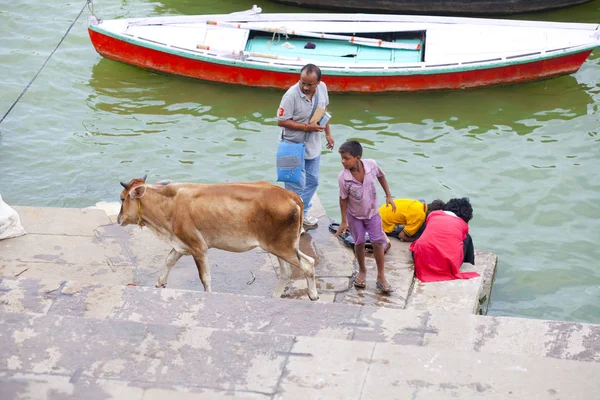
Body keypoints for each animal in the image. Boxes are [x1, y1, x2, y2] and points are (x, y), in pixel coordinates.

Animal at [116, 175, 318, 300]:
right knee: (287, 272)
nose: (119, 219)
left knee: (308, 264)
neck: (168, 203)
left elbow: (205, 278)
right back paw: (275, 297)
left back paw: (313, 295)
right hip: (278, 246)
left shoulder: (198, 247)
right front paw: (159, 283)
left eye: (122, 199)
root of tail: (291, 195)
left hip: (283, 247)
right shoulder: (181, 244)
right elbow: (169, 260)